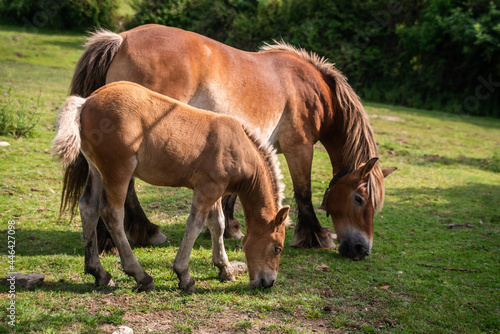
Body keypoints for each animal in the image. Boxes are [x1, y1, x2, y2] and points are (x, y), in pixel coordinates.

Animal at [51, 81, 290, 290]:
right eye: (277, 248)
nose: (268, 282)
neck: (238, 145)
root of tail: (86, 101)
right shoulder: (208, 190)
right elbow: (194, 226)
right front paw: (184, 275)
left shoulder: (214, 189)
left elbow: (218, 224)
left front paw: (225, 269)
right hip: (118, 171)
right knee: (113, 215)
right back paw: (141, 276)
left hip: (96, 170)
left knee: (88, 208)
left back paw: (99, 273)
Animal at [64, 24, 396, 260]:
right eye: (360, 198)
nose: (362, 250)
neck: (311, 88)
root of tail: (120, 40)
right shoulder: (299, 147)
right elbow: (304, 192)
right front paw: (315, 236)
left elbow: (233, 194)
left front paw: (233, 227)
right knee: (124, 188)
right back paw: (141, 233)